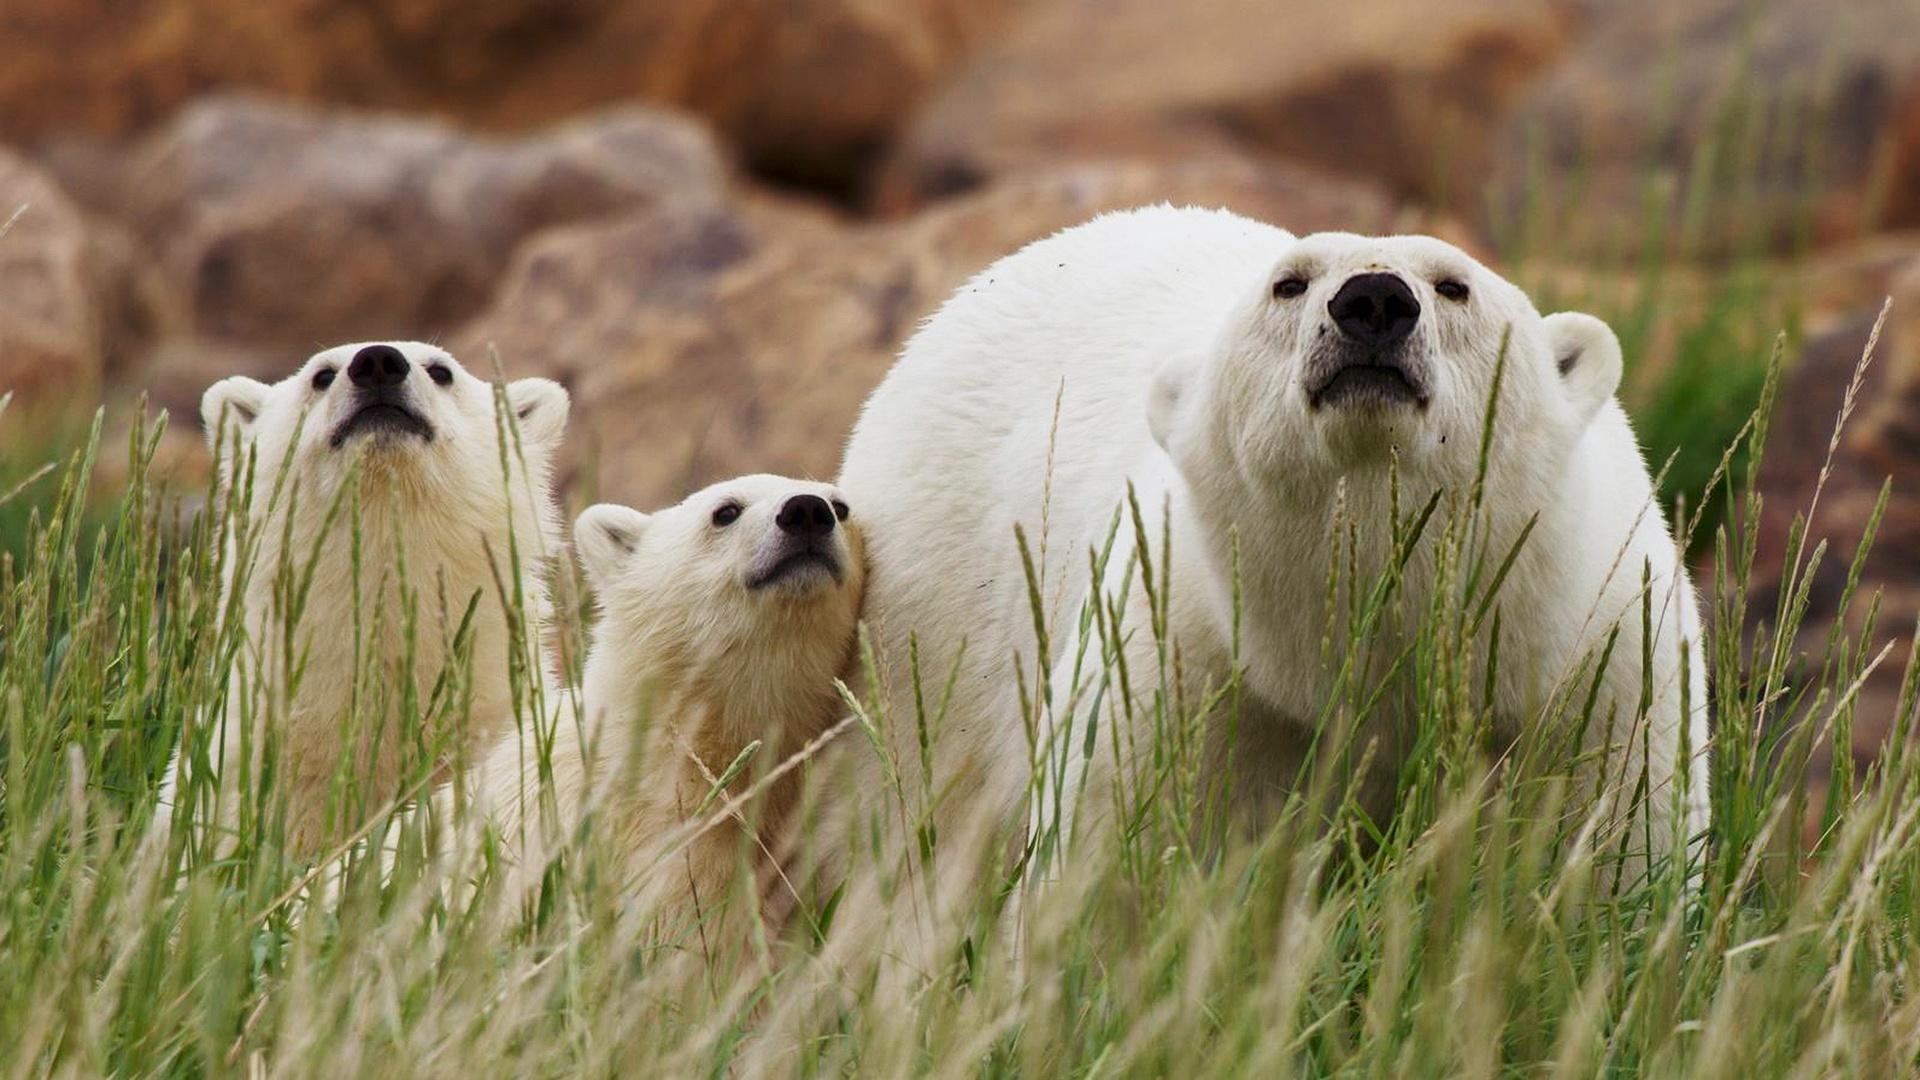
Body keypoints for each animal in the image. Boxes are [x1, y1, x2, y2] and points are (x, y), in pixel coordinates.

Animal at [840, 203, 1712, 883]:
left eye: (1454, 283)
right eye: (1288, 283)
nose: (1373, 300)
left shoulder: (1596, 664)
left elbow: (1618, 849)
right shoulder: (1194, 662)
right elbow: (1117, 858)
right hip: (934, 614)